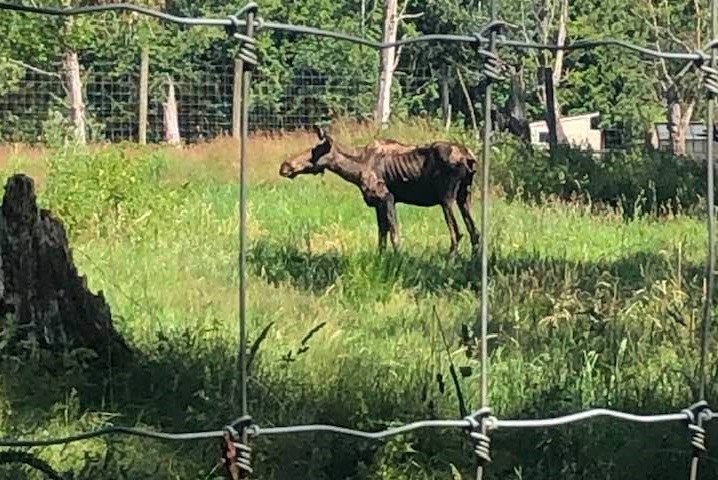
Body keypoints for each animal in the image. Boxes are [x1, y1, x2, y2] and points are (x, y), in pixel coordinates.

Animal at [279, 126, 480, 256]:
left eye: (314, 151)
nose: (285, 165)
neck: (355, 170)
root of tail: (469, 158)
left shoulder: (386, 197)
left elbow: (394, 235)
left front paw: (399, 260)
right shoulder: (378, 203)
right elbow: (382, 236)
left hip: (447, 198)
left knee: (457, 233)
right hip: (464, 195)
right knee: (474, 232)